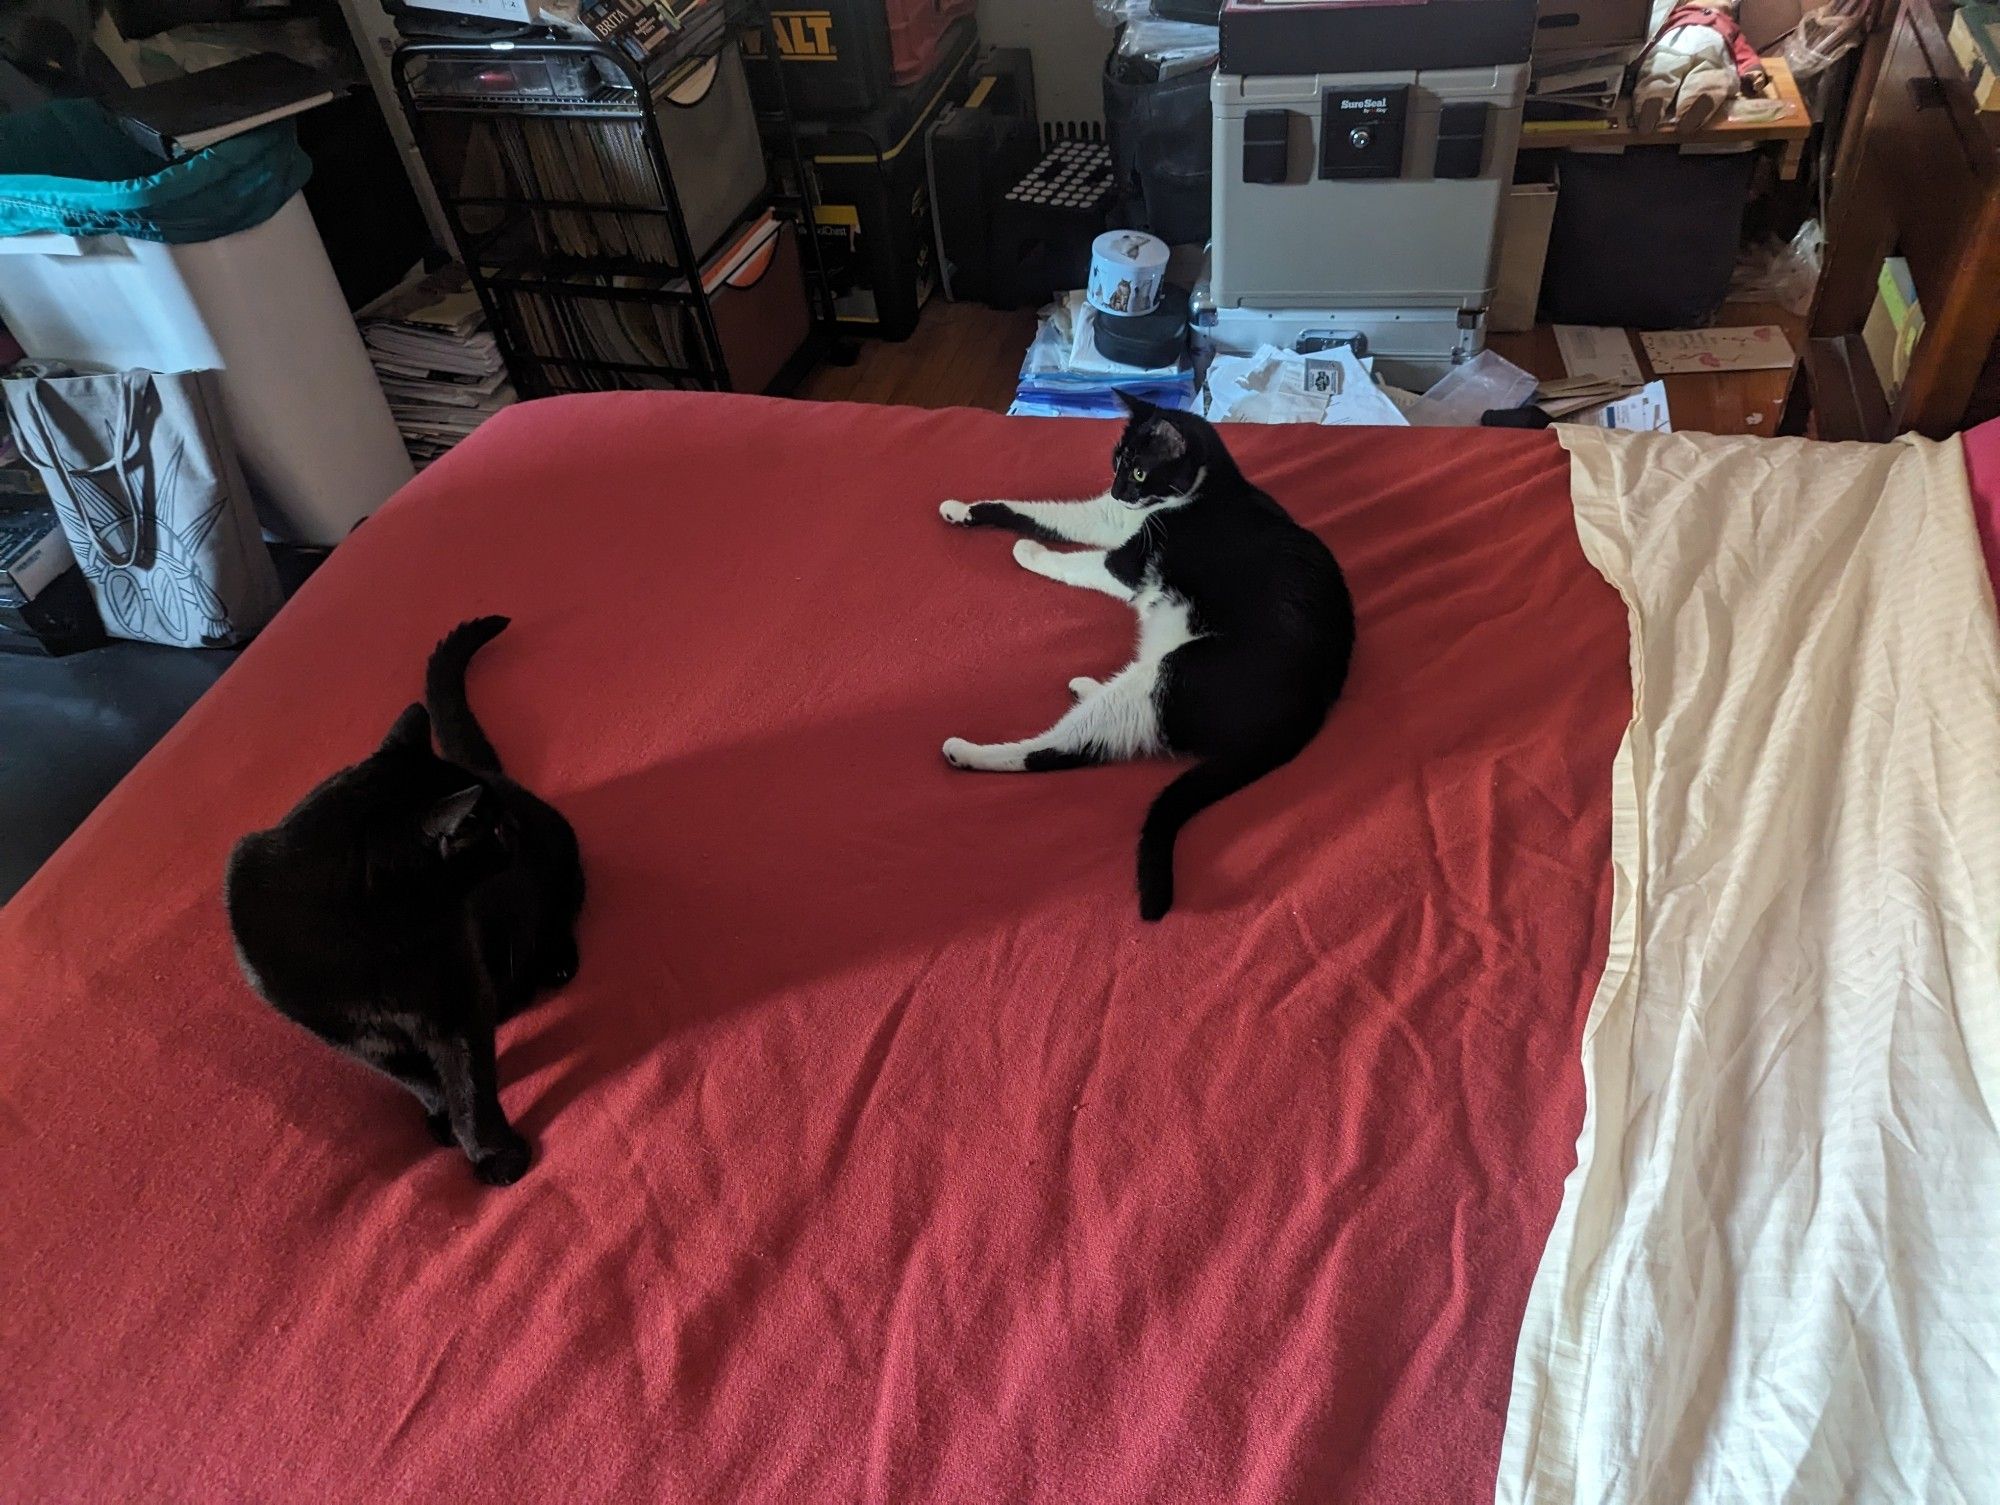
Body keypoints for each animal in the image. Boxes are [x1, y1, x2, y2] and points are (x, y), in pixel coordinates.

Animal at [229, 616, 584, 1184]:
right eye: (494, 830)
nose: (514, 826)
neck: (374, 945)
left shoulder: (457, 1002)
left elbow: (471, 1086)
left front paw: (494, 1155)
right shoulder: (353, 1036)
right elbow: (416, 1078)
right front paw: (442, 1120)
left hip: (559, 855)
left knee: (563, 907)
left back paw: (552, 964)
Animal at [940, 394, 1360, 924]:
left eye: (1141, 472)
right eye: (1118, 462)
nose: (1120, 490)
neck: (1198, 491)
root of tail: (1312, 707)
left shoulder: (1126, 562)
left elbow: (1071, 560)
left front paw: (1028, 552)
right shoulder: (1107, 517)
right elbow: (1040, 512)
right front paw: (961, 509)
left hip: (1179, 673)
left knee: (1063, 749)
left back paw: (968, 750)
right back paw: (1086, 687)